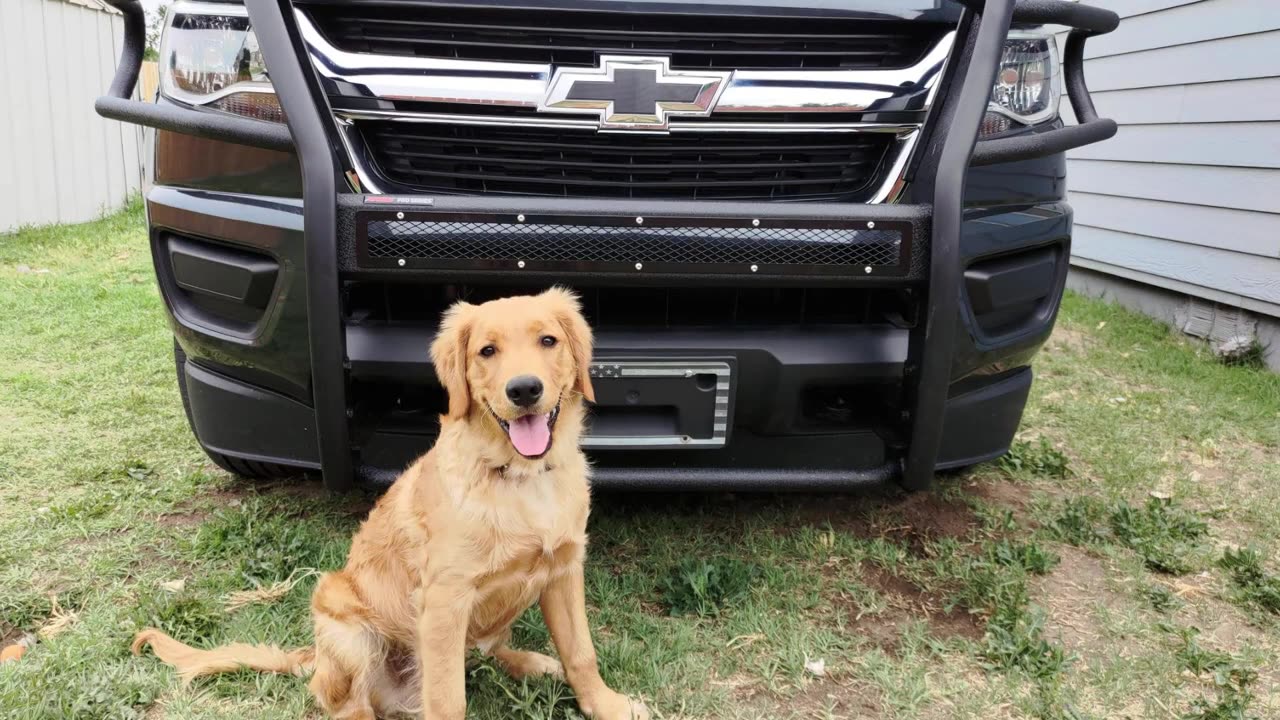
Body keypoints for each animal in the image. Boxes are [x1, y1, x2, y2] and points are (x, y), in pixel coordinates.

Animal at [135, 286, 645, 717]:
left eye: (548, 340)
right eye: (487, 351)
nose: (524, 390)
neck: (518, 476)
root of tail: (314, 656)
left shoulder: (563, 570)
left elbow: (580, 652)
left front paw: (607, 705)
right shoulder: (444, 599)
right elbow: (448, 698)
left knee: (487, 652)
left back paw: (531, 662)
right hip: (345, 622)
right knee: (346, 703)